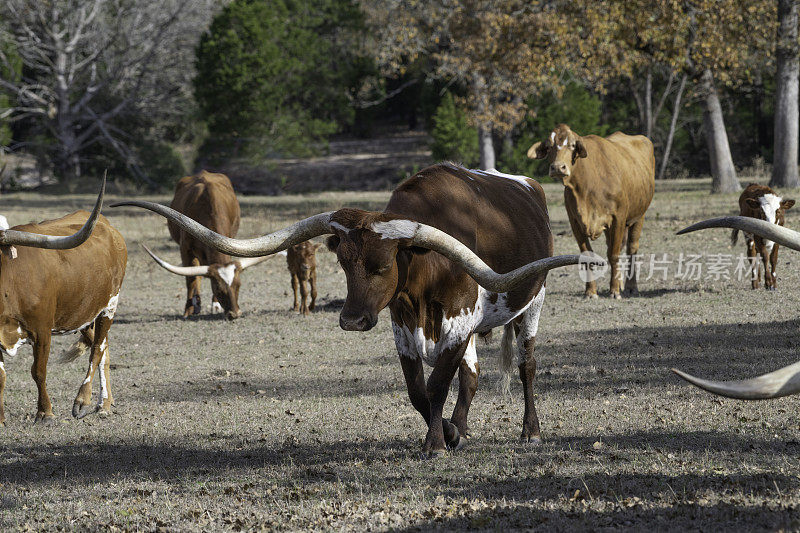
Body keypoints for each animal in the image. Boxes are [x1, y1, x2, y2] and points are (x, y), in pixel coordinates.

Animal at [0, 181, 126, 426]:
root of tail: (109, 228)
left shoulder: (42, 331)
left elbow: (38, 371)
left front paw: (45, 413)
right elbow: (1, 376)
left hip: (109, 306)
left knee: (97, 350)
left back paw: (83, 402)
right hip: (84, 313)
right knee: (104, 350)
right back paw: (105, 404)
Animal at [147, 172, 276, 318]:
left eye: (238, 285)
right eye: (218, 288)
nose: (234, 313)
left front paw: (215, 305)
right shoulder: (185, 248)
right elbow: (191, 278)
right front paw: (189, 309)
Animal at [528, 123, 652, 300]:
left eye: (572, 145)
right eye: (549, 146)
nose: (558, 167)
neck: (586, 188)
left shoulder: (618, 218)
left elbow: (614, 254)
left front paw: (614, 291)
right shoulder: (574, 221)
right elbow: (588, 255)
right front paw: (591, 291)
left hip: (639, 216)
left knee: (631, 249)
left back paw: (630, 287)